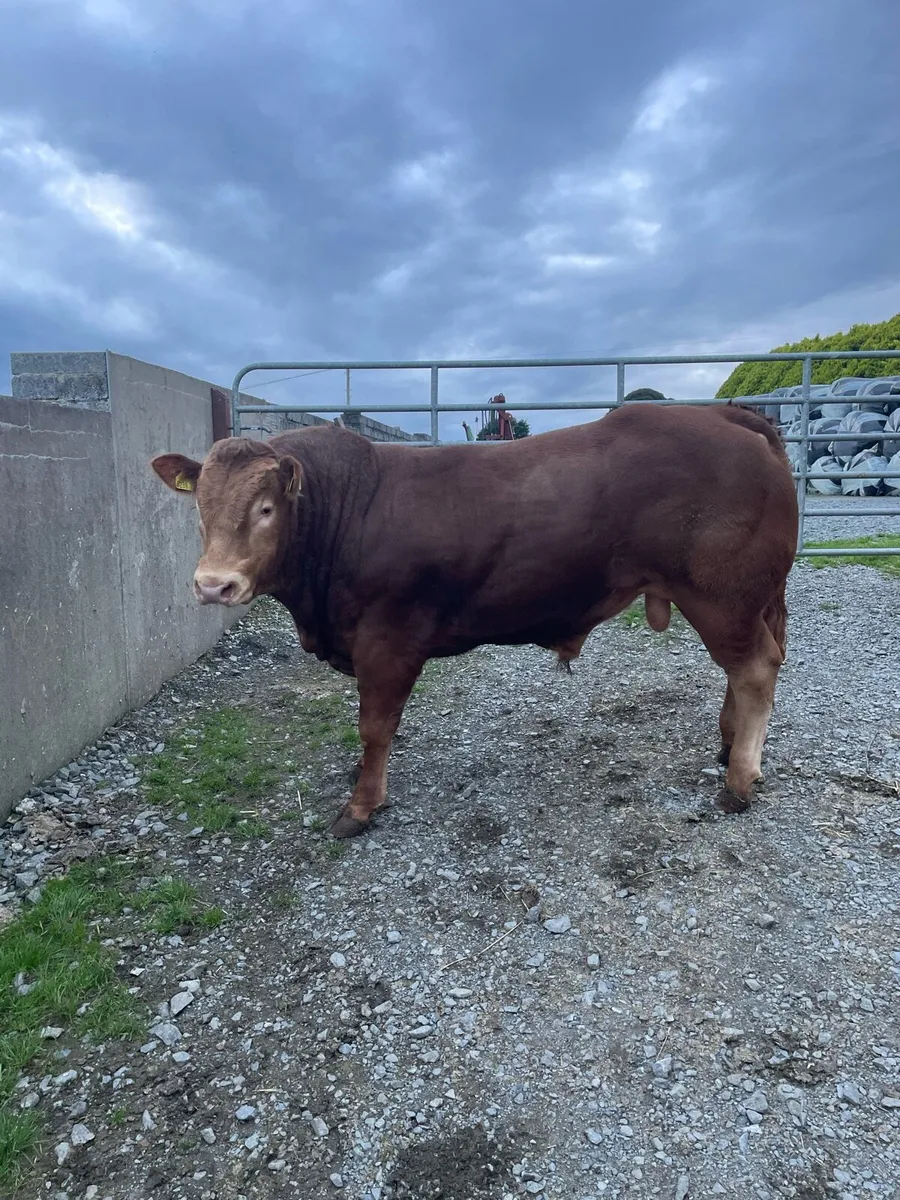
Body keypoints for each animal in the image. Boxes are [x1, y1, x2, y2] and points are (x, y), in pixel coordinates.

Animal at [150, 402, 798, 838]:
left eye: (265, 509)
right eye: (200, 507)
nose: (213, 584)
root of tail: (728, 417)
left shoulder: (387, 639)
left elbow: (375, 727)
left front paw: (361, 805)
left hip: (721, 595)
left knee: (755, 669)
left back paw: (739, 781)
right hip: (749, 599)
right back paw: (728, 746)